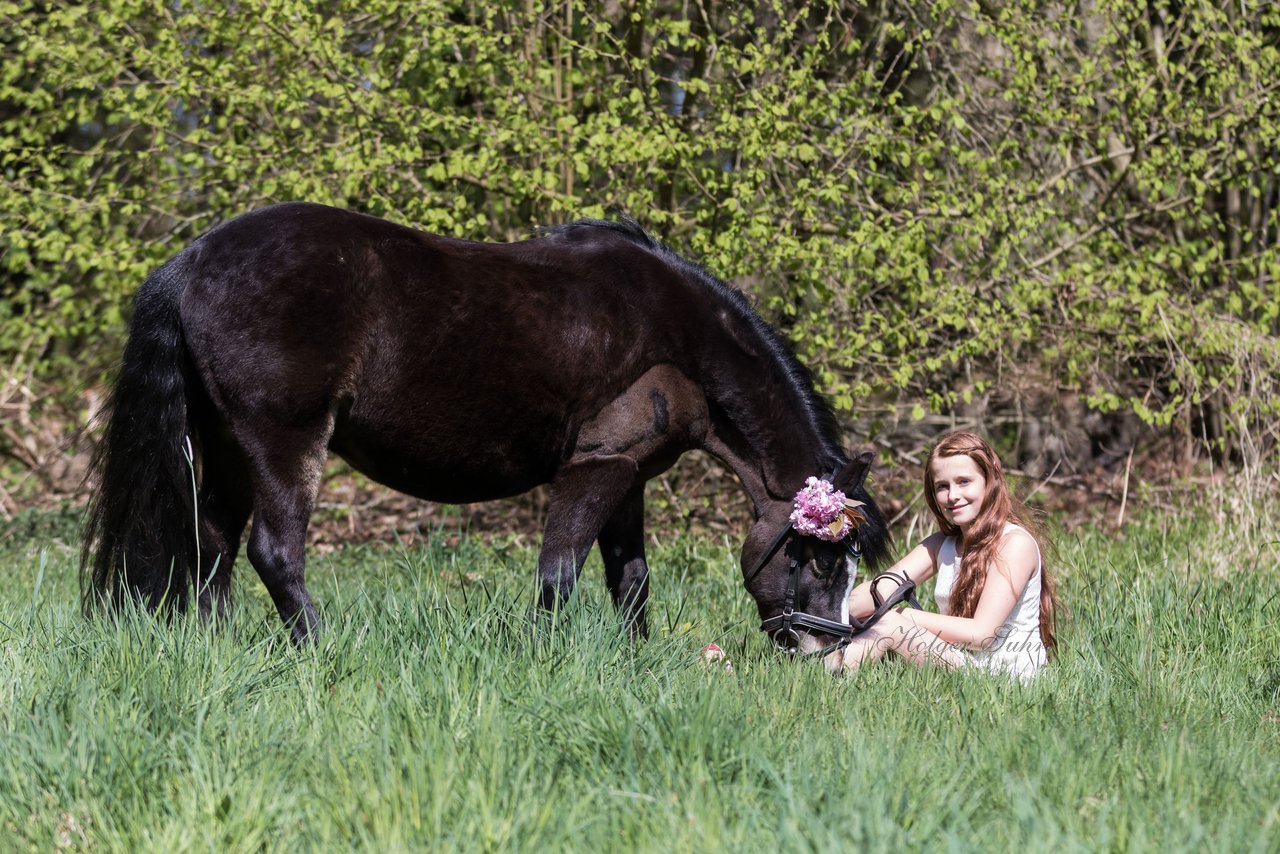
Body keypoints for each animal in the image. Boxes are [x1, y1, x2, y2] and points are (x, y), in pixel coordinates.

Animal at [77, 202, 880, 655]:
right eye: (817, 561)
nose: (819, 651)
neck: (677, 334)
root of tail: (193, 258)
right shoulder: (595, 468)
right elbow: (560, 573)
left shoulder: (628, 474)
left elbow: (631, 580)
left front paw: (635, 662)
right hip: (282, 443)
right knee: (274, 554)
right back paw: (321, 653)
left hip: (226, 447)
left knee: (211, 546)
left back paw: (217, 649)